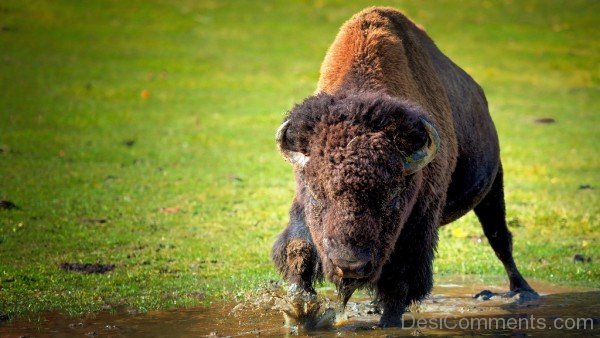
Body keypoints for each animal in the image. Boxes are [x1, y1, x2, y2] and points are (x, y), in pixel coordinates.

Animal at [272, 5, 540, 328]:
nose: (350, 265)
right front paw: (299, 313)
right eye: (315, 193)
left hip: (492, 187)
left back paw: (523, 291)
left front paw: (388, 323)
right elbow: (298, 250)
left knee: (500, 238)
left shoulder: (419, 224)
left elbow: (400, 280)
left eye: (391, 198)